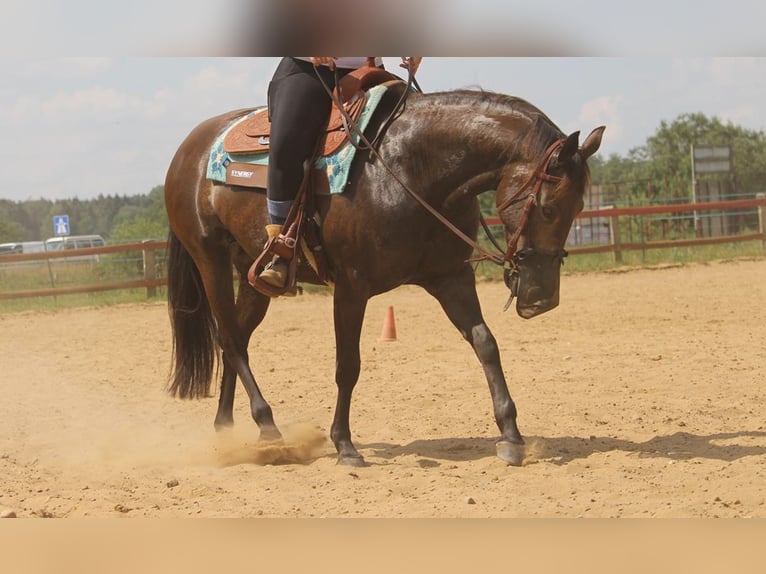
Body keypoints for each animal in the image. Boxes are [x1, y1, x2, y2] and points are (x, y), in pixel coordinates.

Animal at [164, 83, 608, 470]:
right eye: (548, 208)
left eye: (578, 208)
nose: (542, 298)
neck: (409, 169)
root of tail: (188, 148)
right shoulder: (351, 287)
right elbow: (348, 365)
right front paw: (344, 445)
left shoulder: (451, 276)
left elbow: (486, 344)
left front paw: (512, 437)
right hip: (210, 259)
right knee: (230, 339)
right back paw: (269, 426)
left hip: (255, 277)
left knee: (235, 338)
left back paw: (228, 429)